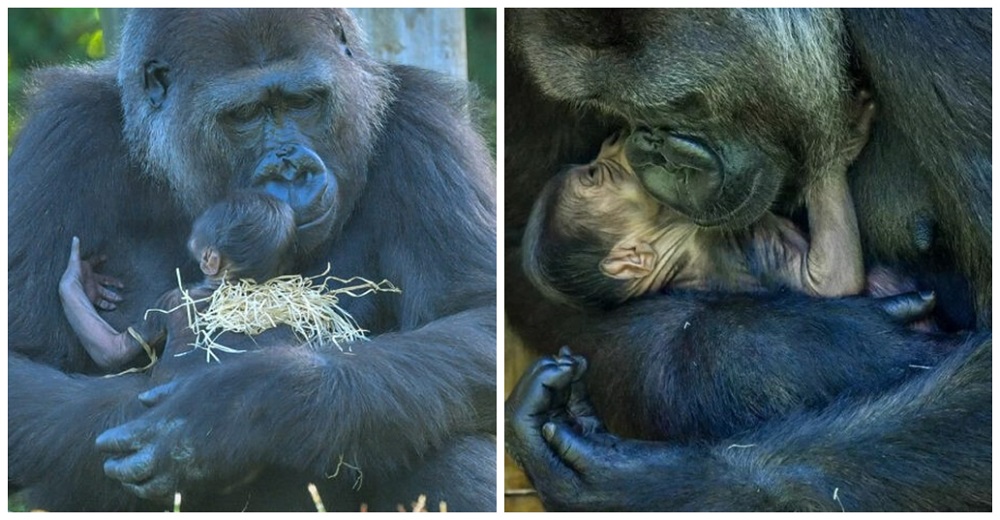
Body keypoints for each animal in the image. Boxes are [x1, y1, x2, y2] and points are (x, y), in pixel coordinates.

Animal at [524, 99, 876, 306]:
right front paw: (842, 141)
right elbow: (830, 279)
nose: (612, 138)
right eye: (595, 174)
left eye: (594, 162)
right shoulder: (728, 243)